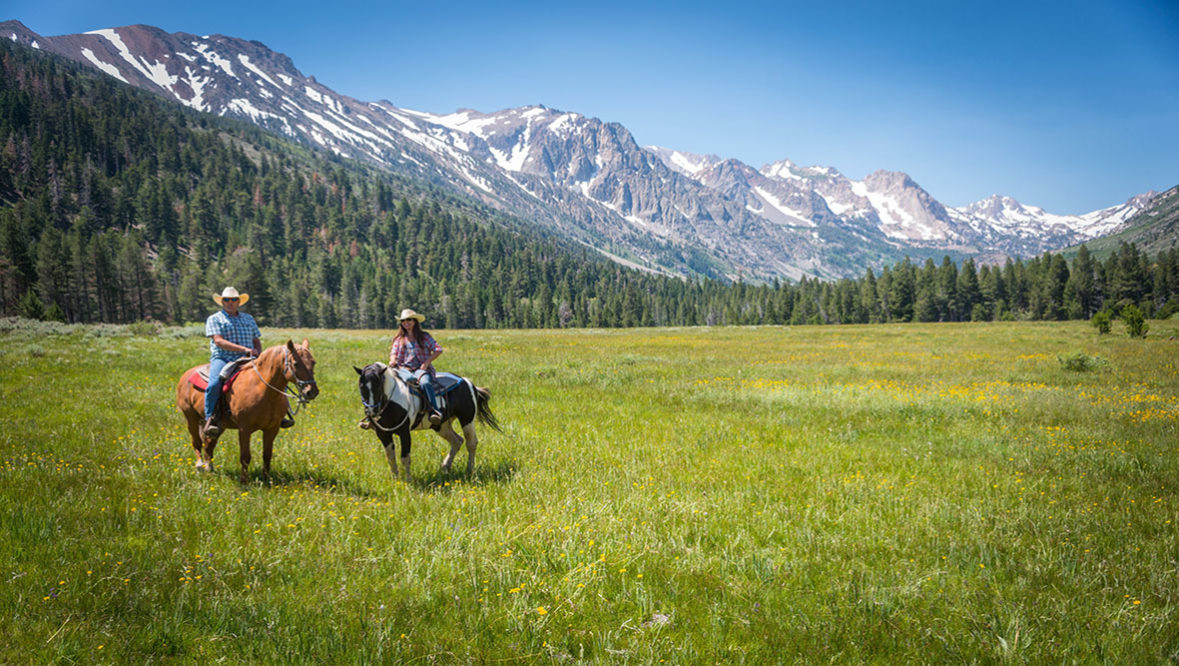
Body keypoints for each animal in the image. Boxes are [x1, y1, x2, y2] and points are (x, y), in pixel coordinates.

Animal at [174, 339, 318, 480]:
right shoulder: (244, 429)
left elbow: (267, 455)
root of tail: (186, 374)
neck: (264, 392)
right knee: (197, 442)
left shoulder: (272, 428)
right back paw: (199, 466)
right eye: (296, 363)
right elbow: (245, 457)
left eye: (313, 362)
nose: (312, 392)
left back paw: (210, 468)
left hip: (218, 426)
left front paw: (267, 480)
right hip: (191, 418)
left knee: (209, 444)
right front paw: (244, 481)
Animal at [348, 360, 497, 480]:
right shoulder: (382, 433)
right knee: (457, 441)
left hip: (467, 419)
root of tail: (467, 382)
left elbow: (405, 457)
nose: (372, 412)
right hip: (441, 425)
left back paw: (469, 469)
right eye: (361, 386)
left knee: (471, 443)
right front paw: (395, 479)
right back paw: (445, 467)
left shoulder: (404, 432)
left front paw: (408, 481)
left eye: (378, 386)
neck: (391, 401)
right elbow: (390, 457)